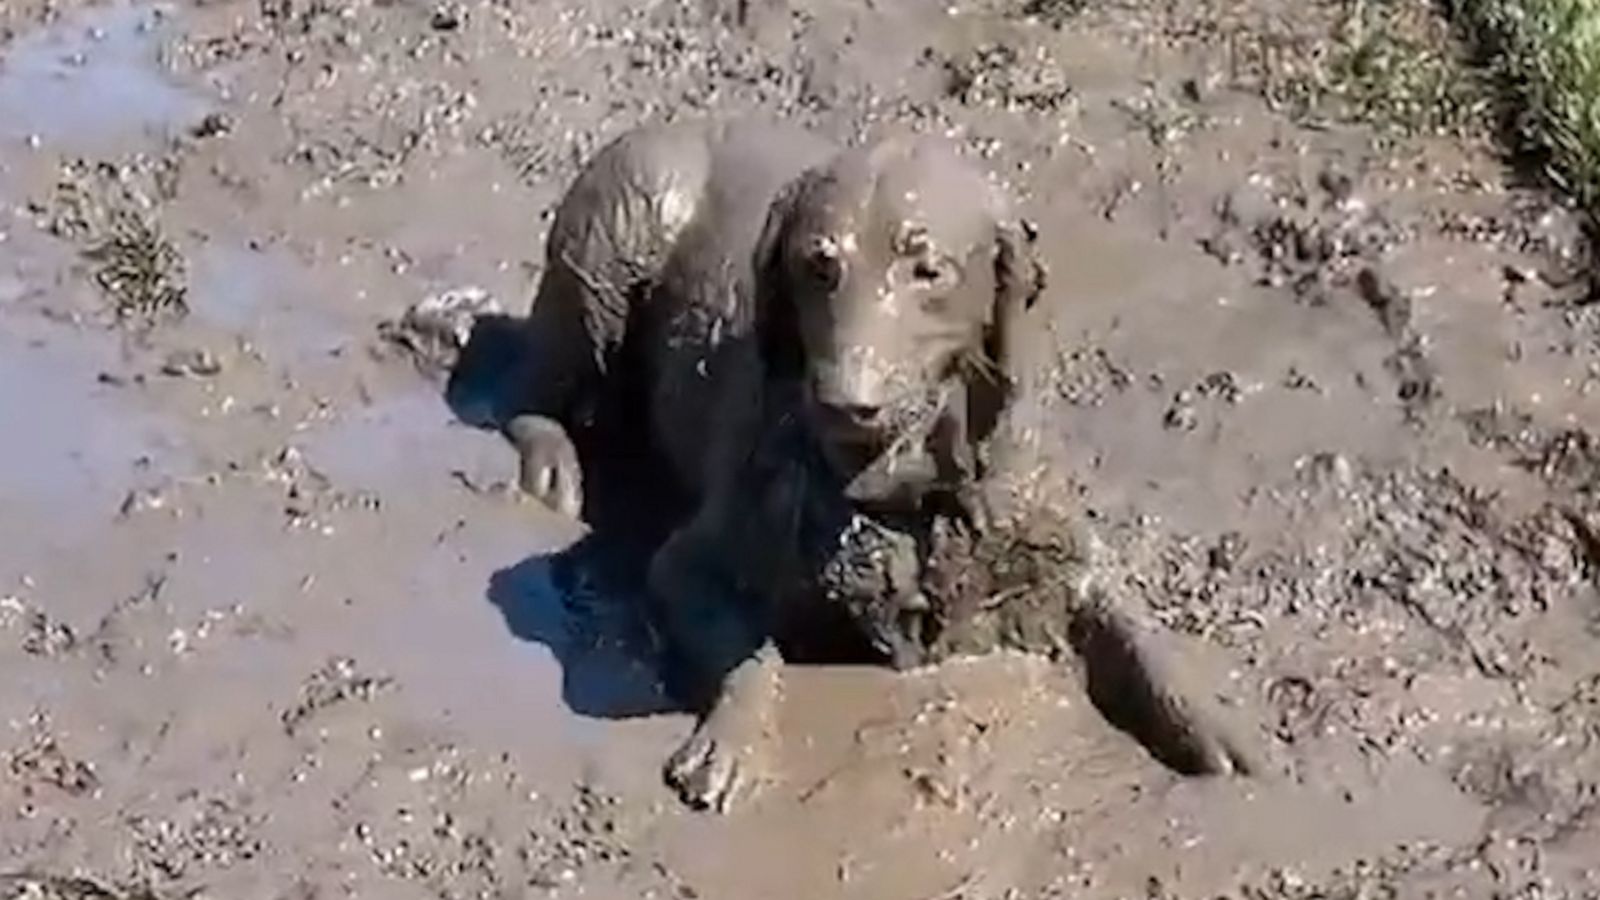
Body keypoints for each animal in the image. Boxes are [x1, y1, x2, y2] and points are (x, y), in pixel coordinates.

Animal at [499, 115, 1260, 810]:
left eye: (928, 271)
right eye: (819, 265)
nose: (845, 401)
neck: (902, 486)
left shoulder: (1061, 552)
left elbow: (1140, 633)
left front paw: (1217, 722)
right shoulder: (690, 562)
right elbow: (751, 657)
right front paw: (729, 743)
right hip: (615, 242)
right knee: (534, 390)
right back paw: (552, 460)